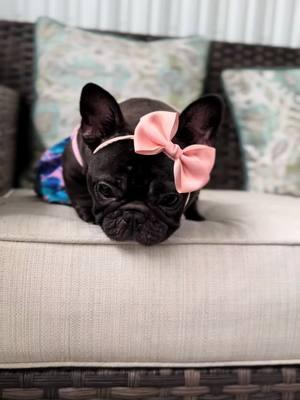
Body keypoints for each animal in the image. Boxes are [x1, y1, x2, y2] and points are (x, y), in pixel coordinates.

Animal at [63, 83, 223, 245]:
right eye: (105, 190)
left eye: (170, 199)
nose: (133, 215)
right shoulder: (72, 166)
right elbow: (80, 192)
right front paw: (88, 211)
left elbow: (194, 198)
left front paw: (195, 216)